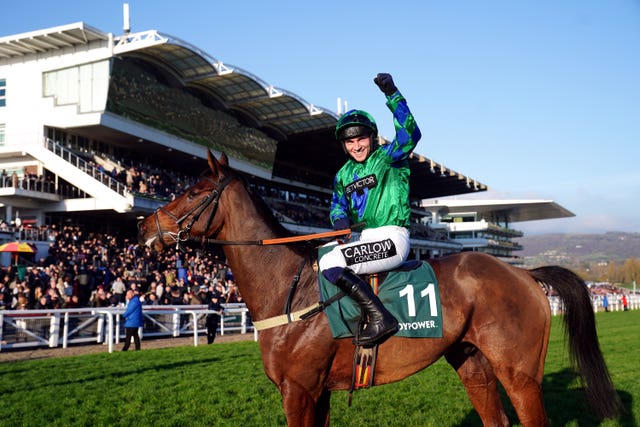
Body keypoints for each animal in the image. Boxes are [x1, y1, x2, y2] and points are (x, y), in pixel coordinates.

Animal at [136, 152, 620, 427]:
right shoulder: (317, 393)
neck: (289, 292)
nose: (143, 226)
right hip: (472, 362)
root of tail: (524, 274)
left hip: (520, 374)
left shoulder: (298, 390)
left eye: (193, 191)